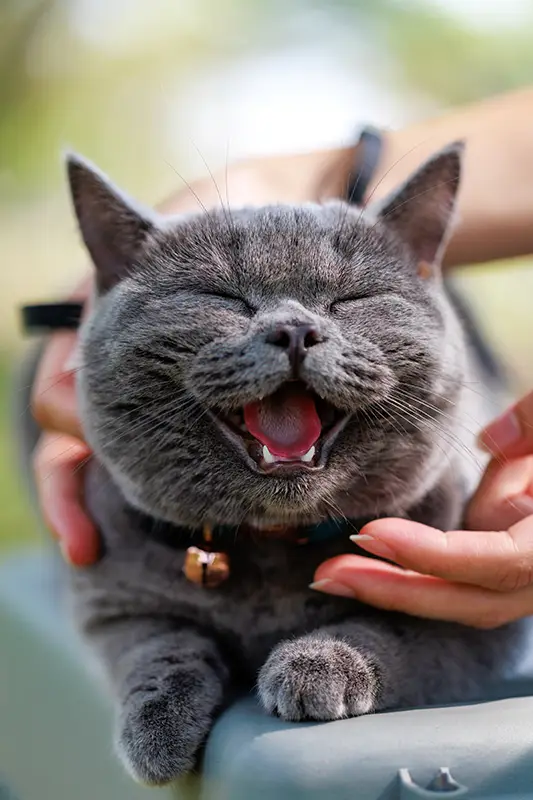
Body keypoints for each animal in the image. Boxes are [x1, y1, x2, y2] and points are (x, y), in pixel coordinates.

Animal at [65, 145, 520, 788]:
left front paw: (316, 667)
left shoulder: (474, 619)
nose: (296, 328)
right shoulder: (111, 600)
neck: (274, 544)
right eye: (221, 297)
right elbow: (157, 644)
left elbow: (393, 626)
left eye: (351, 300)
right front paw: (157, 728)